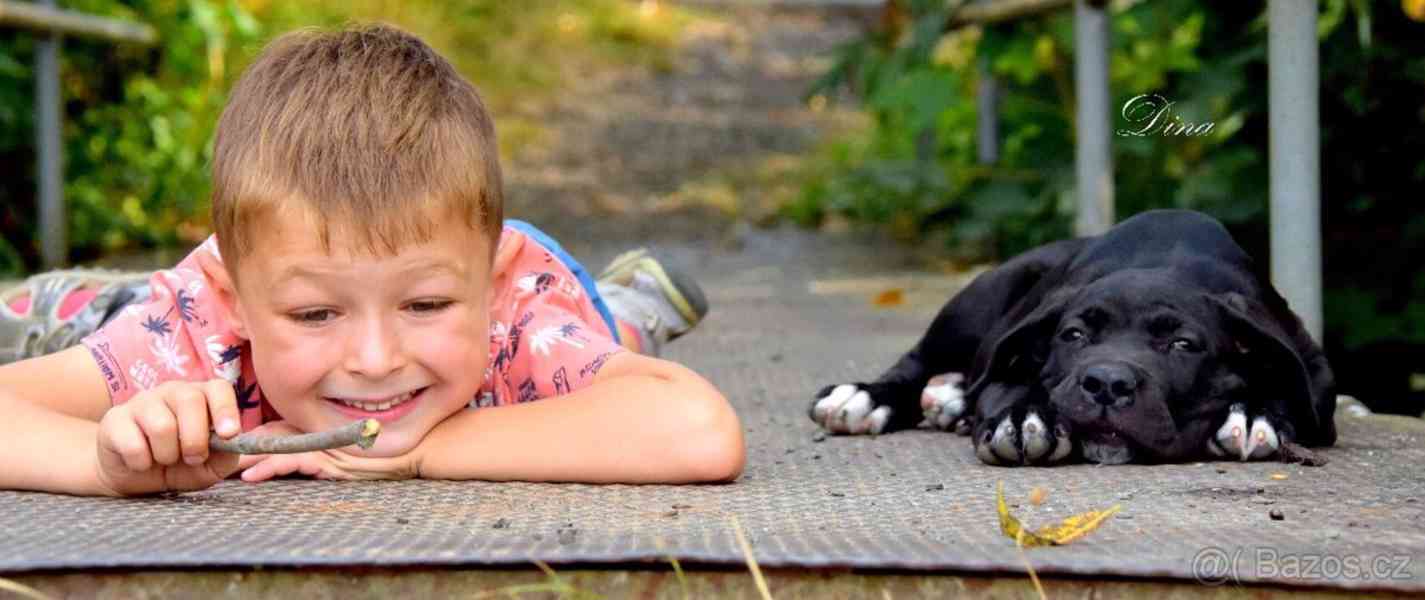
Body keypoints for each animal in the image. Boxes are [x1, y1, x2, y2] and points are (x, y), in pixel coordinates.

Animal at [815, 208, 1333, 464]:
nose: (1106, 384)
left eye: (1183, 345)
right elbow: (1011, 387)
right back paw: (865, 397)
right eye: (1074, 335)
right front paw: (1026, 417)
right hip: (984, 294)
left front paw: (1253, 412)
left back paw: (952, 400)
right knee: (921, 358)